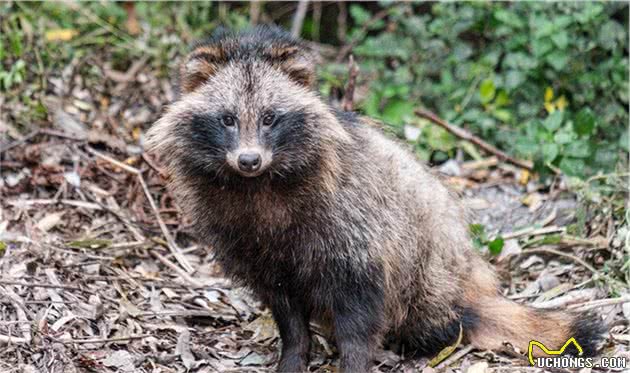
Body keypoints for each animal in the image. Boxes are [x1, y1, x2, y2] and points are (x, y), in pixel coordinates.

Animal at [148, 26, 608, 372]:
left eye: (269, 118)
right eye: (227, 119)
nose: (248, 160)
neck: (259, 185)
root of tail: (467, 288)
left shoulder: (356, 232)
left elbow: (360, 315)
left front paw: (352, 362)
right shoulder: (250, 243)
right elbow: (287, 312)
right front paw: (294, 355)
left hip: (428, 269)